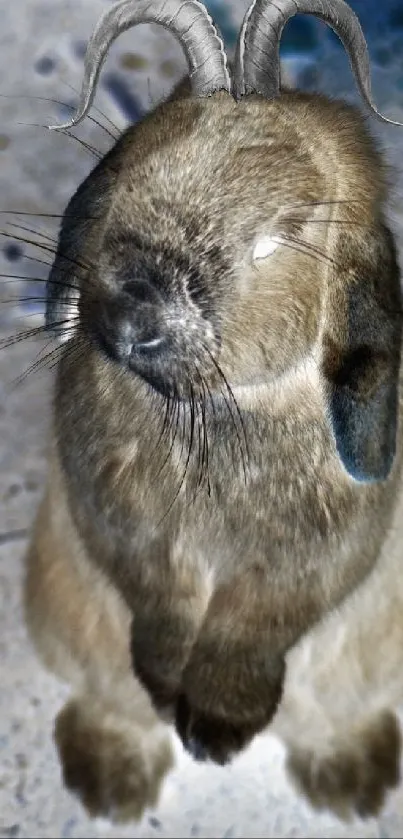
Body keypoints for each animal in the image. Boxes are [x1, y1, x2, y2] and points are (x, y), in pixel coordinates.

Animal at [23, 0, 403, 828]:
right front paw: (173, 695)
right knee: (108, 695)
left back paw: (349, 779)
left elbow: (251, 622)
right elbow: (158, 602)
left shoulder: (304, 565)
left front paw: (218, 730)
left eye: (282, 235)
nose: (133, 313)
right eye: (129, 175)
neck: (217, 409)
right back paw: (113, 781)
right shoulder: (123, 529)